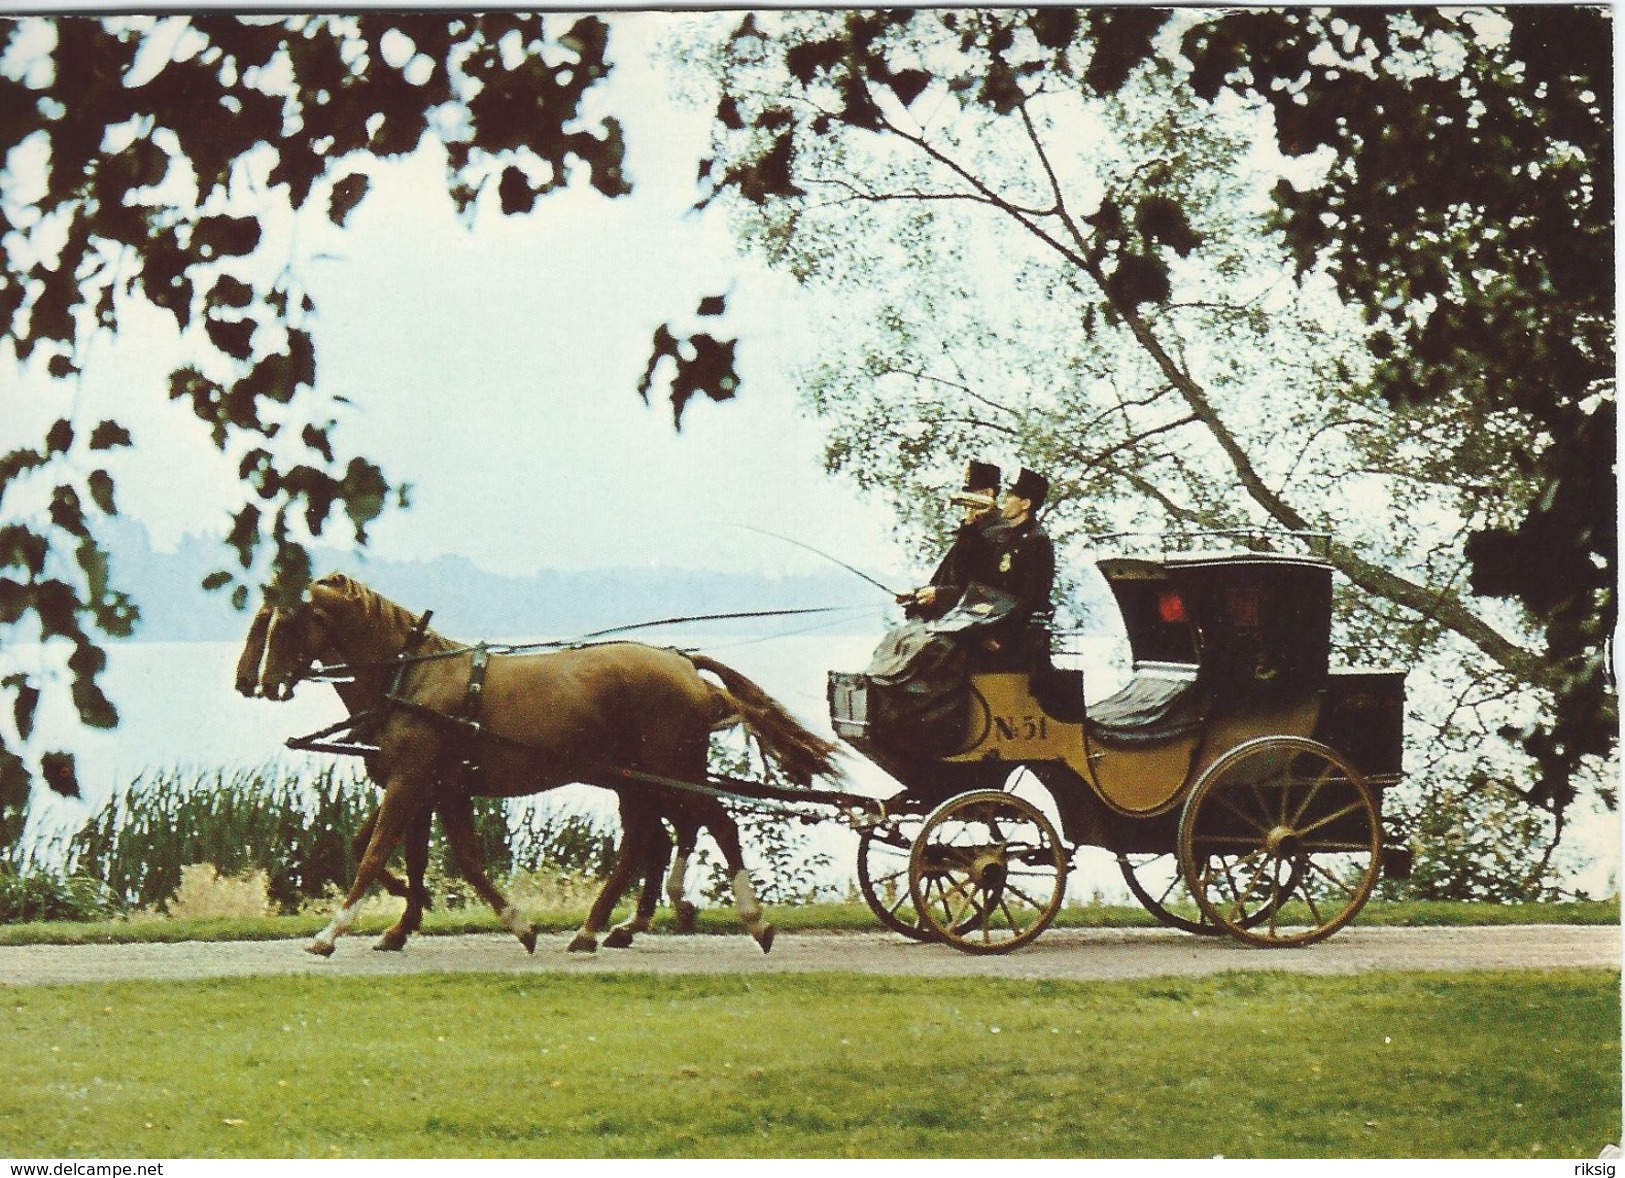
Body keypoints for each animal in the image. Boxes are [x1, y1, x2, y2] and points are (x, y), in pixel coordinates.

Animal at [237, 568, 845, 955]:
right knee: (654, 836)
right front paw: (447, 919)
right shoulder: (438, 787)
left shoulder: (411, 781)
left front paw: (330, 933)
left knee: (712, 824)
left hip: (670, 770)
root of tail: (683, 663)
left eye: (281, 622)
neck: (412, 676)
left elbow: (373, 853)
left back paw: (749, 920)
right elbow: (441, 856)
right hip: (637, 778)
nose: (253, 683)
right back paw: (603, 926)